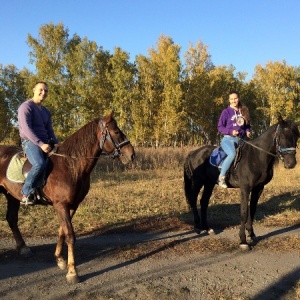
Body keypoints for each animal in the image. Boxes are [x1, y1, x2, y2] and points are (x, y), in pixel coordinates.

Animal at [0, 112, 134, 284]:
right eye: (116, 132)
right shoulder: (61, 205)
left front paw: (60, 260)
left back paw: (23, 248)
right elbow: (70, 235)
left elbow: (62, 231)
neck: (70, 165)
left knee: (11, 219)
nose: (131, 154)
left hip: (11, 196)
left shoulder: (72, 205)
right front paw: (72, 272)